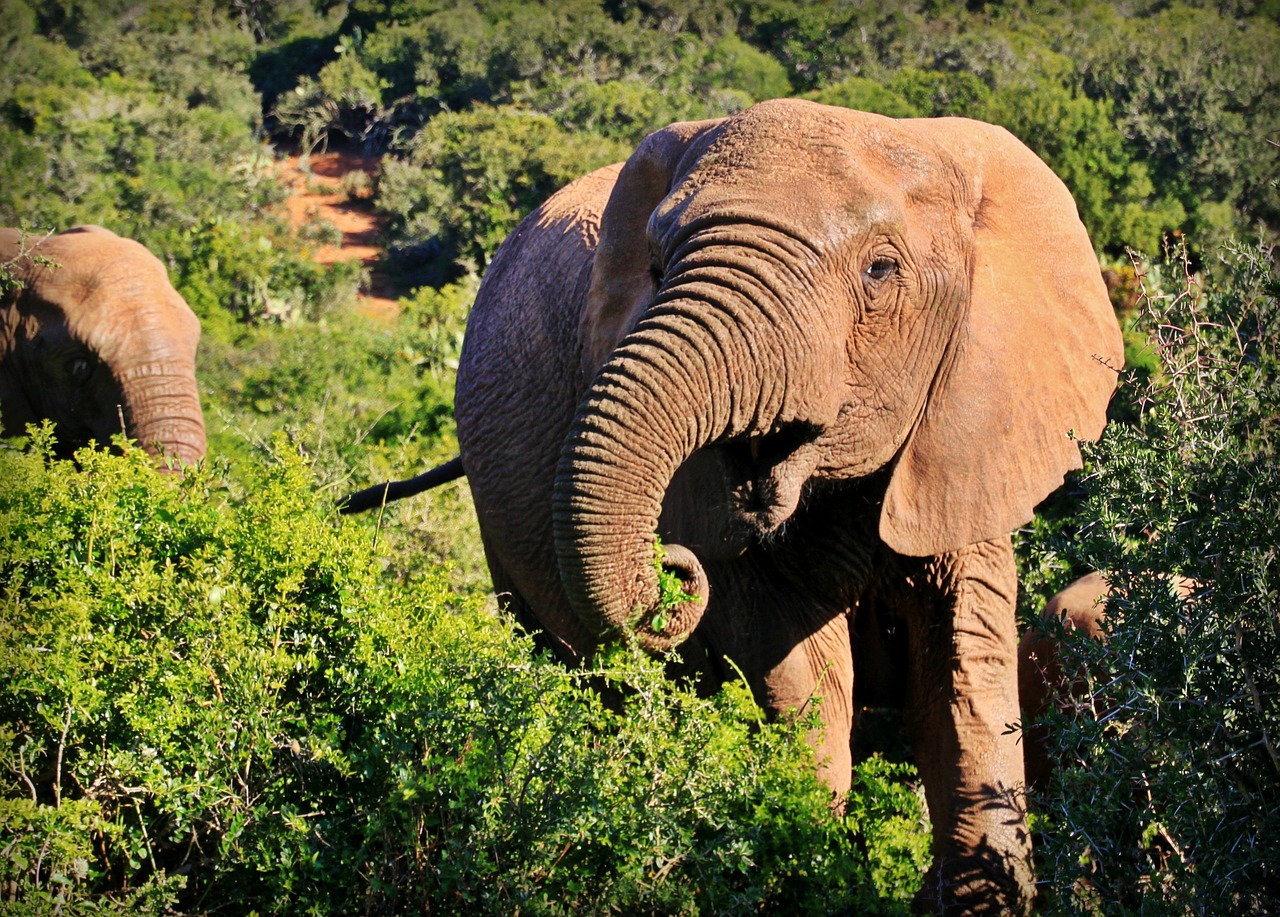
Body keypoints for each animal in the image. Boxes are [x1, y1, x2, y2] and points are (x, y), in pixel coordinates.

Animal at [345, 100, 1126, 911]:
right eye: (658, 271)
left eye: (881, 270)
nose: (671, 567)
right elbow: (794, 668)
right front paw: (804, 867)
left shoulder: (965, 429)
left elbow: (965, 666)